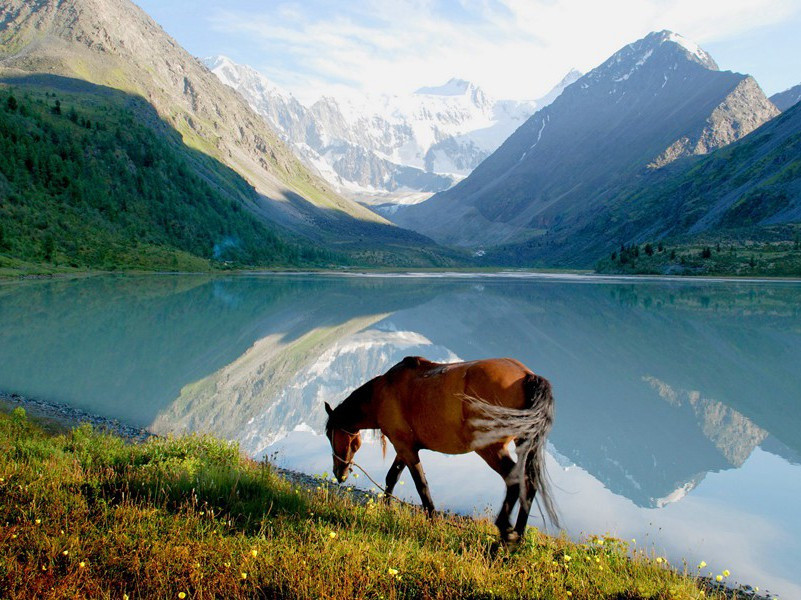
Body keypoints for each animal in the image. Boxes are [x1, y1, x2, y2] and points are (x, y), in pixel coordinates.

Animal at [324, 354, 556, 548]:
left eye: (329, 434)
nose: (339, 474)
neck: (382, 393)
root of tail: (527, 376)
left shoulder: (405, 448)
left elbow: (421, 485)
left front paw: (432, 520)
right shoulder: (405, 447)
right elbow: (392, 477)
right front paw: (386, 507)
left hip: (490, 449)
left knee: (515, 480)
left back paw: (505, 534)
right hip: (523, 443)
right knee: (529, 483)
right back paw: (518, 537)